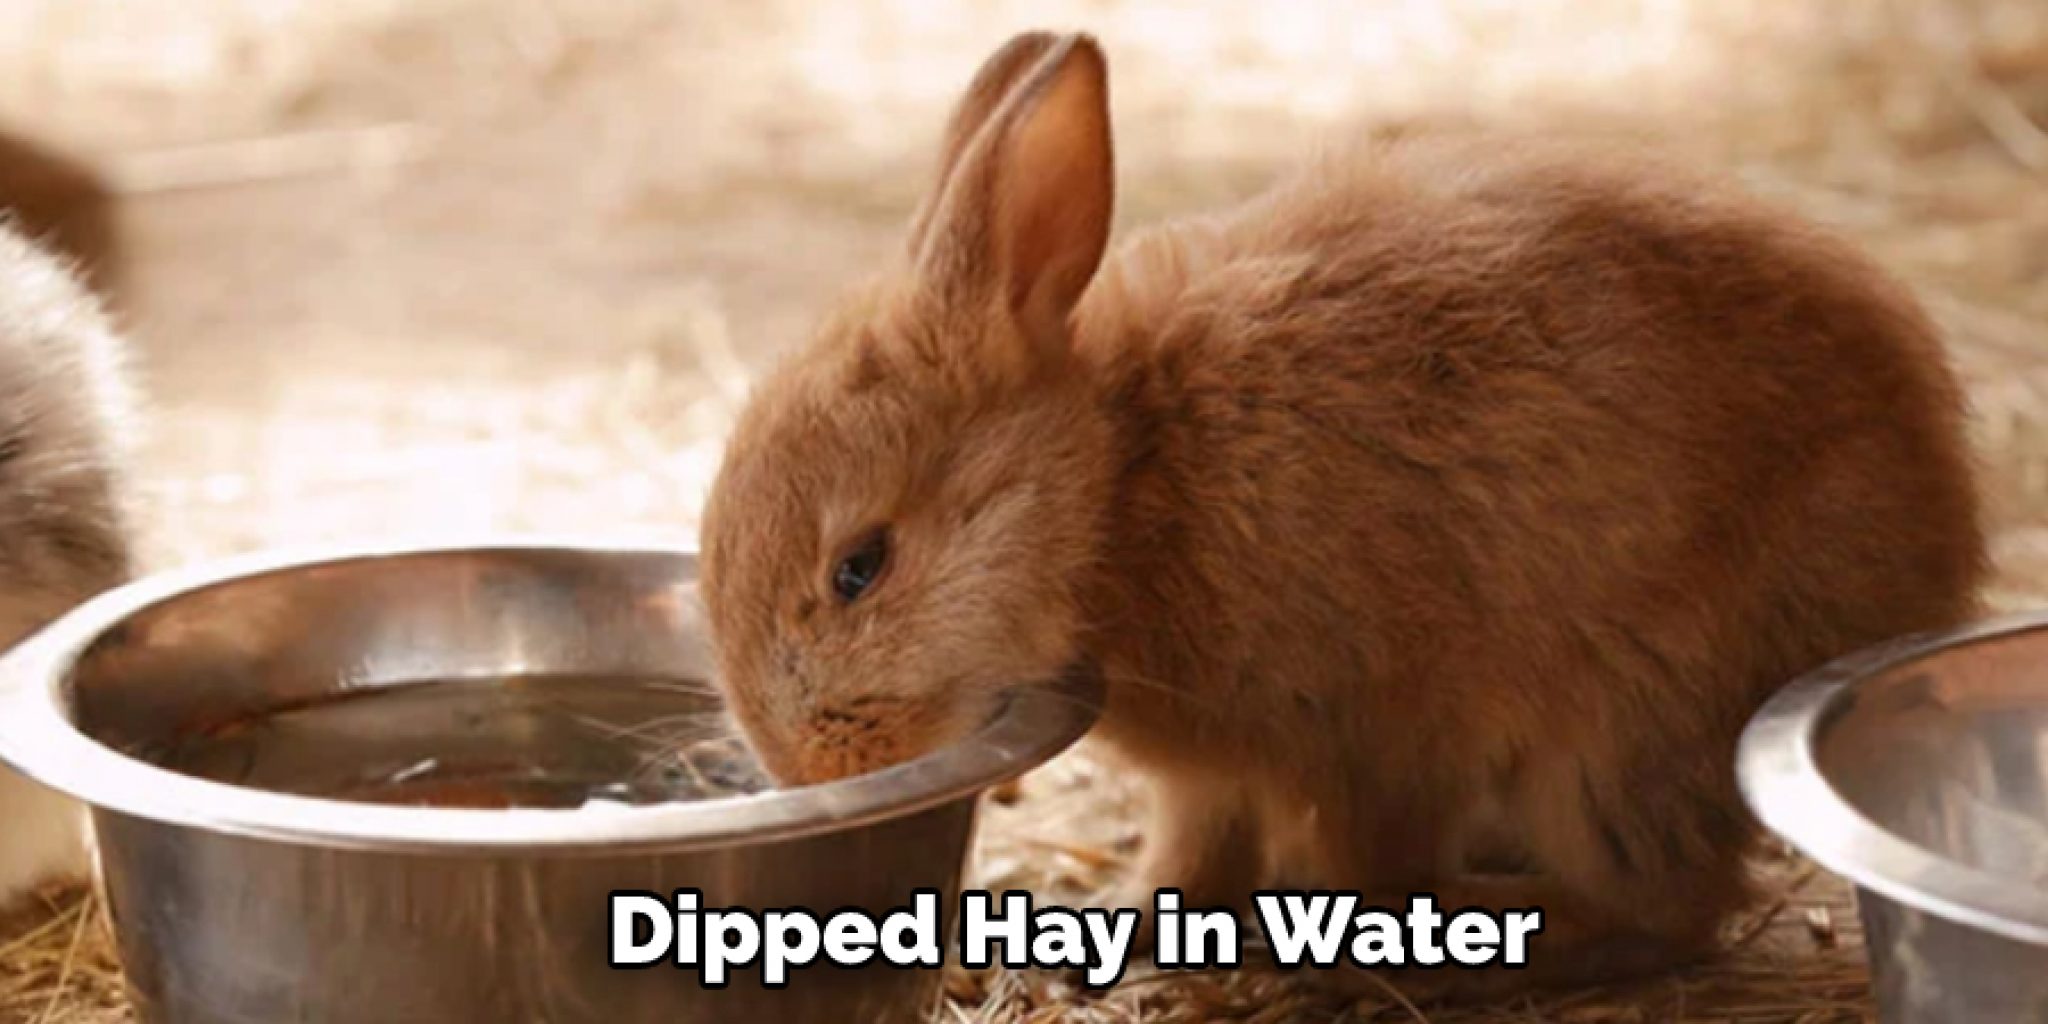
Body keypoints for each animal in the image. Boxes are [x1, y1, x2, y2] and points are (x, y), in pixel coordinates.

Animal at [696, 31, 1986, 999]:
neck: (1118, 482)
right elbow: (1194, 849)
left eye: (860, 566)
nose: (805, 764)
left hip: (1619, 729)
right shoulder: (1215, 775)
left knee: (1666, 904)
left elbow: (1370, 862)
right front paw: (1132, 919)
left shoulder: (1378, 730)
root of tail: (1935, 558)